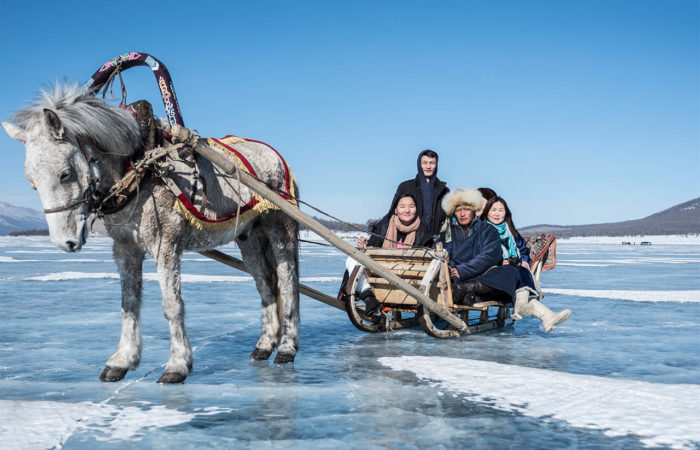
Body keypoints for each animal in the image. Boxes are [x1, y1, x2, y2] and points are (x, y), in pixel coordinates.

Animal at [3, 82, 304, 382]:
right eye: (31, 182)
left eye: (65, 173)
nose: (65, 242)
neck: (138, 168)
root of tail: (278, 158)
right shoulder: (125, 248)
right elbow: (128, 303)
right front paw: (121, 360)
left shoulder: (165, 244)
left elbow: (172, 304)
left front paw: (177, 365)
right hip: (248, 237)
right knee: (265, 283)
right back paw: (264, 345)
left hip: (280, 227)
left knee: (288, 282)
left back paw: (286, 348)